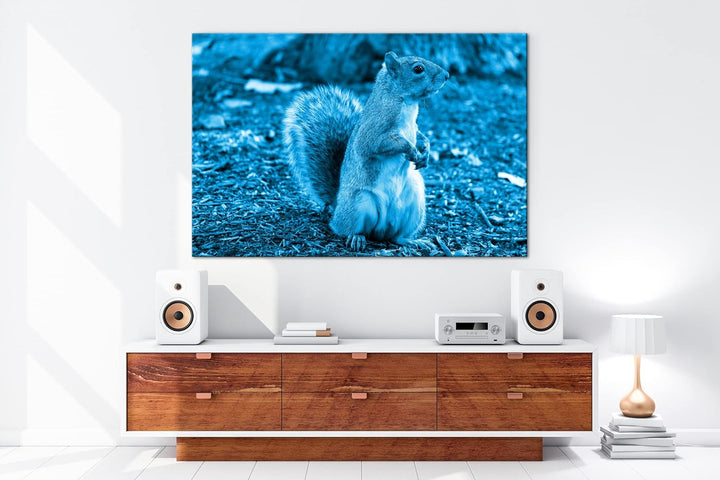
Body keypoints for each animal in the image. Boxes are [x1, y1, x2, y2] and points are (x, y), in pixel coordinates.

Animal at [283, 51, 449, 250]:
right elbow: (378, 144)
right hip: (359, 204)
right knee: (347, 229)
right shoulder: (375, 129)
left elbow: (420, 135)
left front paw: (426, 152)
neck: (406, 102)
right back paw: (357, 238)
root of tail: (337, 206)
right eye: (418, 69)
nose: (447, 75)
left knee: (397, 237)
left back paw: (413, 240)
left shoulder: (413, 128)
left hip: (414, 205)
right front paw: (412, 150)